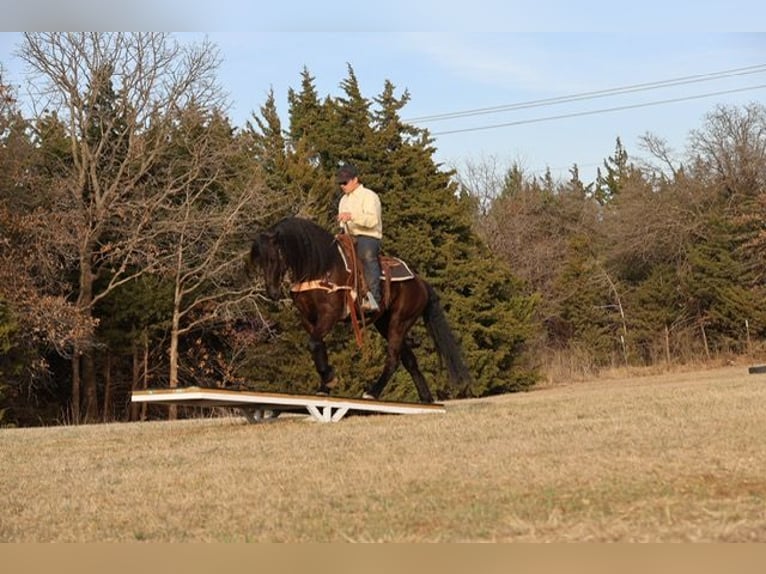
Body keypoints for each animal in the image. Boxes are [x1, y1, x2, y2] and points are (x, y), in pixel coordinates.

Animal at [248, 216, 471, 403]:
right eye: (259, 260)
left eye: (275, 257)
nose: (272, 292)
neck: (322, 267)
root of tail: (420, 282)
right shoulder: (308, 319)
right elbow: (318, 345)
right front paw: (325, 384)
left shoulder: (330, 314)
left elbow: (313, 343)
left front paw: (329, 379)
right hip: (385, 324)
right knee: (409, 360)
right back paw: (426, 398)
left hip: (400, 322)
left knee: (393, 359)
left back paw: (372, 392)